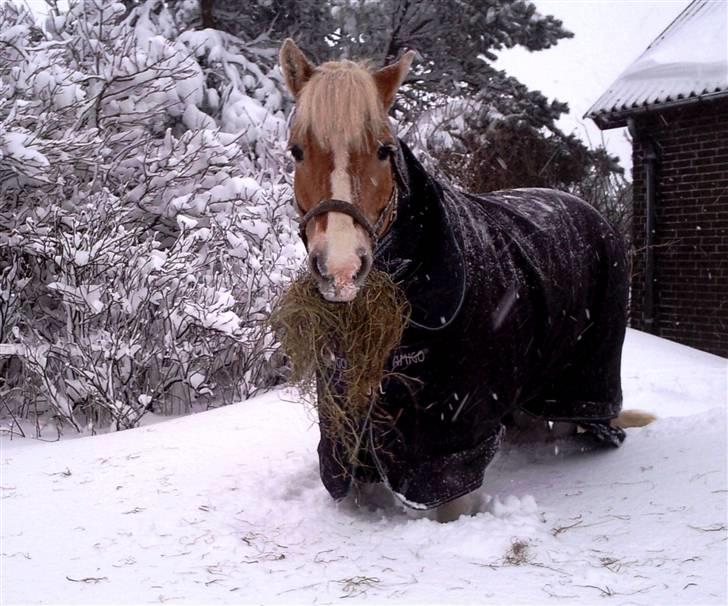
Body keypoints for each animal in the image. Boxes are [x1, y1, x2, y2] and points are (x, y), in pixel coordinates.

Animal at [280, 39, 656, 524]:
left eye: (383, 151)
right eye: (296, 151)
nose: (342, 268)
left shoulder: (448, 446)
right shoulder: (348, 429)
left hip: (584, 384)